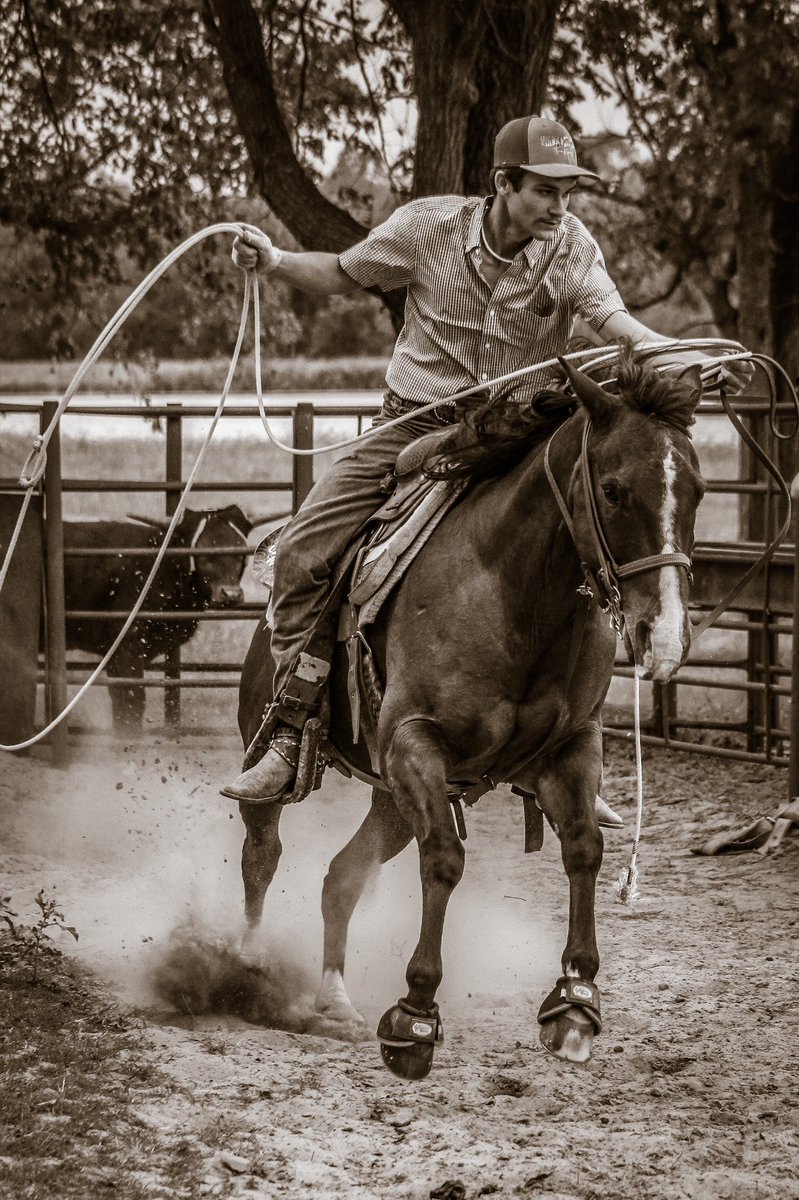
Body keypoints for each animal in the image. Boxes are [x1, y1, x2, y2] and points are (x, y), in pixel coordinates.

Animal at [231, 348, 705, 1080]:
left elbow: (583, 848)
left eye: (699, 493)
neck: (514, 593)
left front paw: (574, 1003)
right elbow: (445, 862)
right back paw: (252, 962)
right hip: (282, 754)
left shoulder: (570, 749)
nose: (668, 635)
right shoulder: (414, 744)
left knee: (341, 877)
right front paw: (415, 1017)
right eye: (614, 490)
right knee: (263, 851)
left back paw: (334, 1000)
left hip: (392, 800)